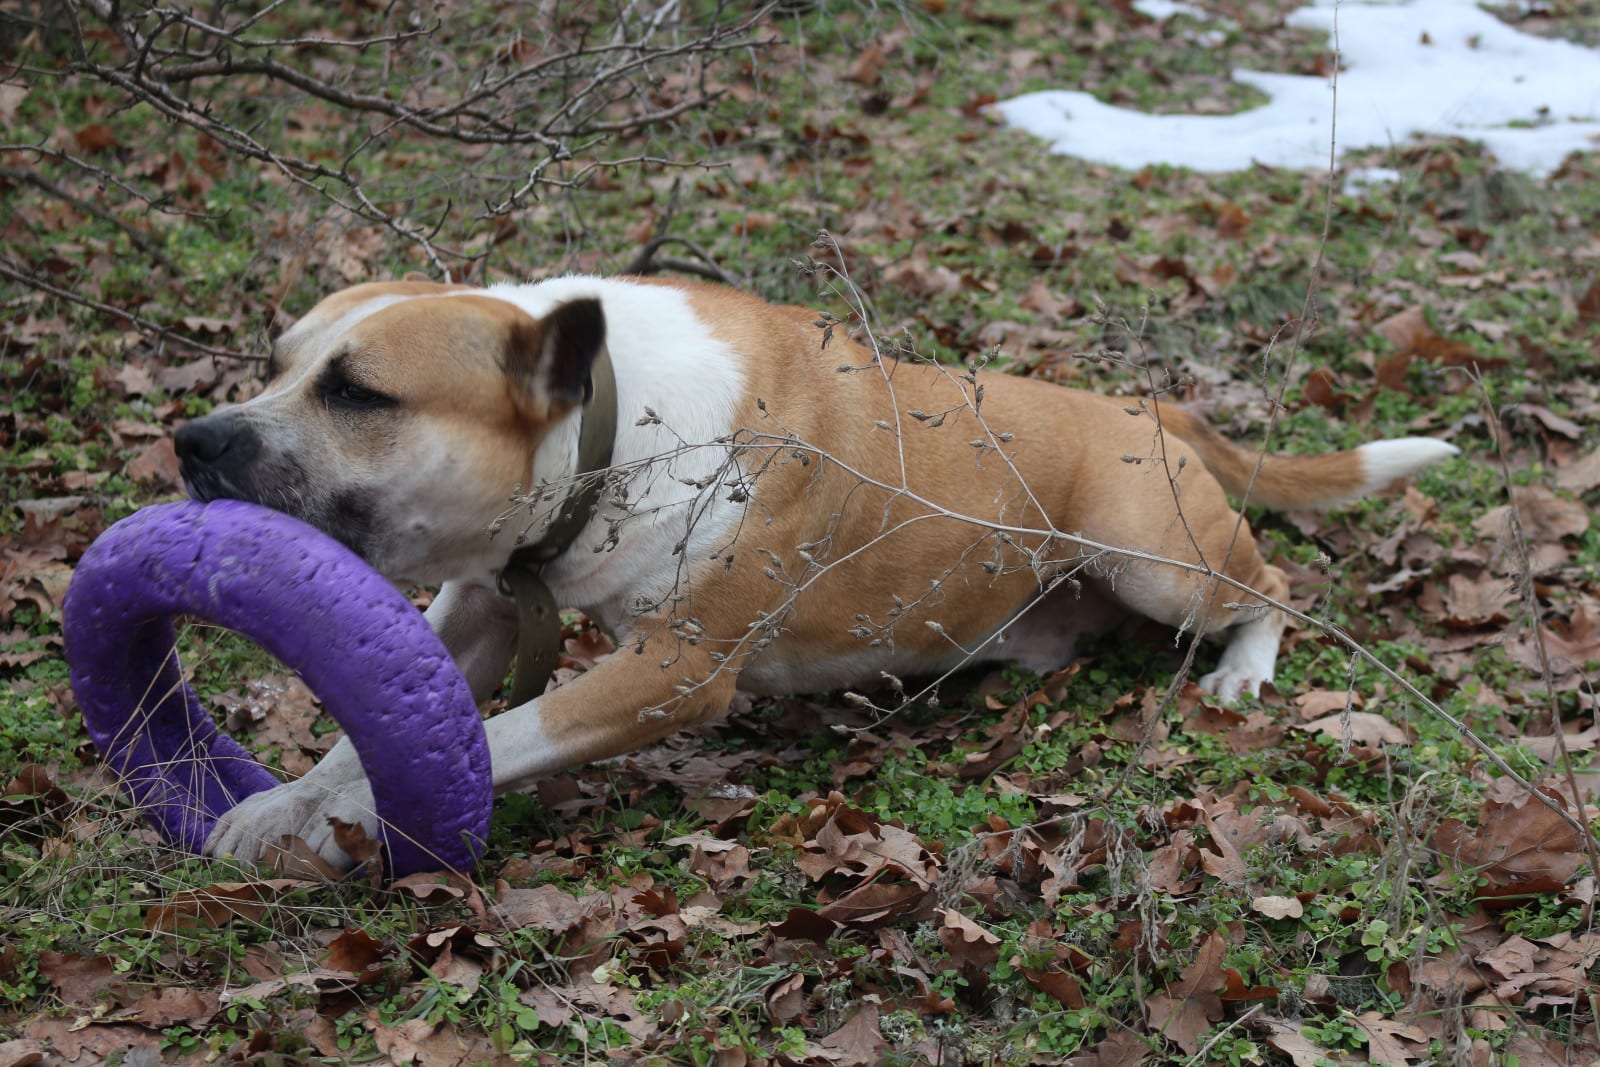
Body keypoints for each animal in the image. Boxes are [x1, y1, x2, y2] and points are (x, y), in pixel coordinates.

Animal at [178, 275, 1465, 870]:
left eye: (359, 392)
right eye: (277, 363)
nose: (194, 438)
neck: (606, 428)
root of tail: (1148, 409)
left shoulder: (671, 670)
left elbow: (494, 737)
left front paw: (338, 816)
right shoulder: (484, 606)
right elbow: (362, 734)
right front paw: (279, 806)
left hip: (1153, 555)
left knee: (1274, 591)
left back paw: (1244, 672)